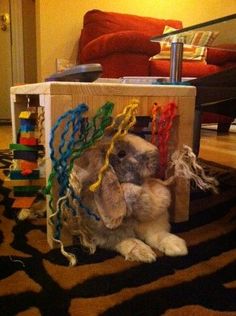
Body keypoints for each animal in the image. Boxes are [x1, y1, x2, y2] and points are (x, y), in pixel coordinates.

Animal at [68, 133, 188, 262]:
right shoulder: (108, 233)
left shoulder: (154, 222)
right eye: (122, 153)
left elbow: (157, 234)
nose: (157, 153)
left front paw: (178, 247)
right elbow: (127, 241)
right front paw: (145, 254)